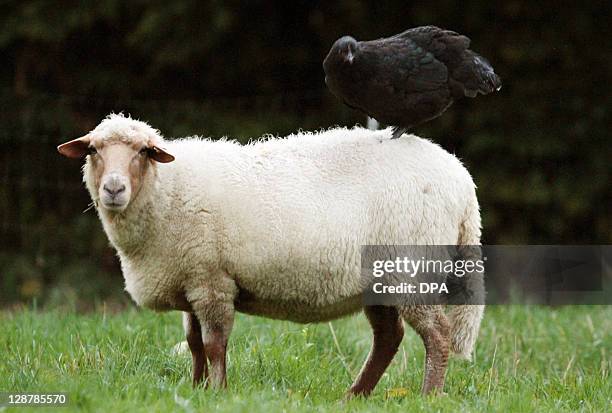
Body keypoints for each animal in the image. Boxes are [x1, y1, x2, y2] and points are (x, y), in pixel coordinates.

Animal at [59, 113, 486, 396]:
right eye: (93, 150)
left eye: (144, 151)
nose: (114, 189)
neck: (167, 189)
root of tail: (462, 180)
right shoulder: (191, 277)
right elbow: (194, 343)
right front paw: (196, 390)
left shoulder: (213, 281)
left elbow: (214, 344)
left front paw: (218, 392)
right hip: (381, 277)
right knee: (388, 337)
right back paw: (355, 396)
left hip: (412, 268)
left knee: (437, 336)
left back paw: (427, 396)